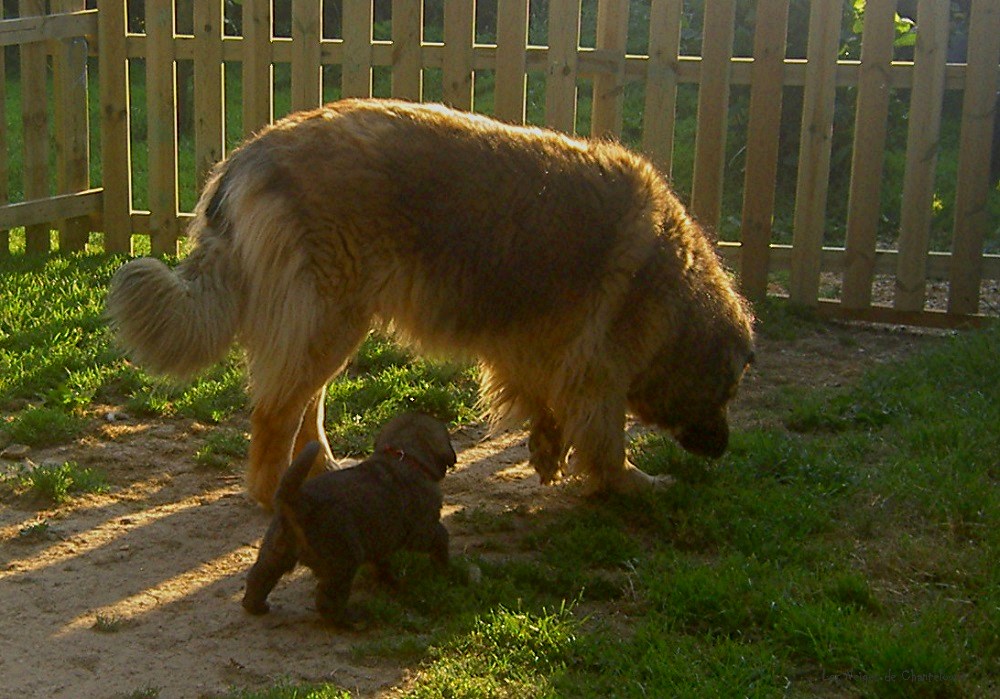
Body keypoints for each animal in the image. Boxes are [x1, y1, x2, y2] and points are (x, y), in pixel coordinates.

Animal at [107, 97, 752, 508]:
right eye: (726, 391)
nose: (724, 450)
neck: (674, 287)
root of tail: (252, 154)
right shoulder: (599, 369)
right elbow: (607, 442)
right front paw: (633, 484)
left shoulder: (538, 349)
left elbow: (547, 404)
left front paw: (547, 452)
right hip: (328, 318)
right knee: (274, 413)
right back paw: (274, 496)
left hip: (330, 320)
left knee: (304, 404)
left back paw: (319, 467)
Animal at [242, 412, 454, 628]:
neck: (402, 456)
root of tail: (297, 500)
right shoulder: (424, 530)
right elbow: (441, 538)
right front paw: (445, 568)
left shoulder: (379, 542)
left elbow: (382, 565)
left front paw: (390, 581)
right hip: (343, 560)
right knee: (328, 600)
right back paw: (353, 620)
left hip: (276, 550)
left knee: (259, 577)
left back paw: (256, 606)